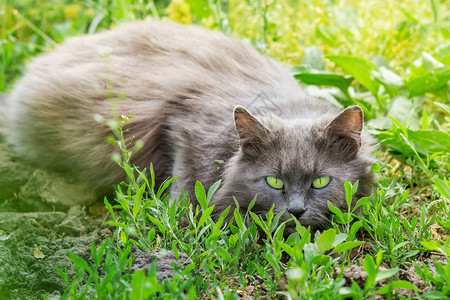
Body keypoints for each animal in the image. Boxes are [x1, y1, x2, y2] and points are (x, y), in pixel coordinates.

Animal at [5, 20, 374, 230]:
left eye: (320, 181)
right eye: (274, 181)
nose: (296, 211)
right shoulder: (182, 127)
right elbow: (185, 185)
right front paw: (184, 217)